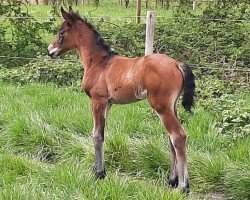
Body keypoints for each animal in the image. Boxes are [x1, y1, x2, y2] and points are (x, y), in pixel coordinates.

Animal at [47, 7, 195, 193]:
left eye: (61, 32)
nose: (49, 50)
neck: (99, 63)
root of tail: (176, 64)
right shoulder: (108, 104)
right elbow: (101, 133)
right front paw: (100, 170)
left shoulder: (98, 101)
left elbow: (97, 135)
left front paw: (99, 174)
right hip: (172, 106)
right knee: (171, 139)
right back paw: (171, 181)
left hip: (161, 106)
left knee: (178, 136)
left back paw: (183, 186)